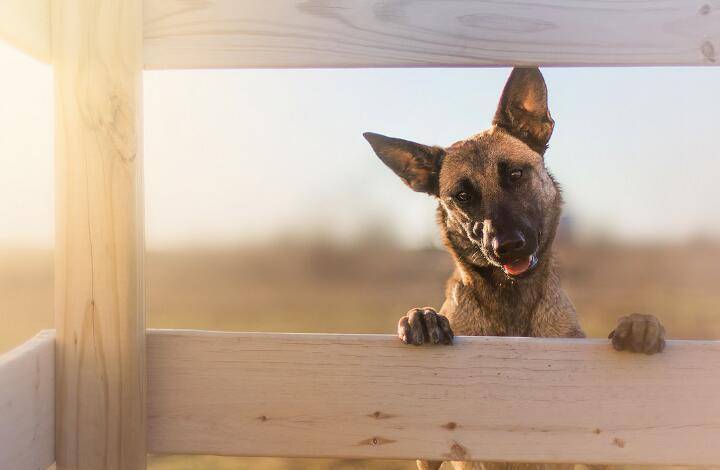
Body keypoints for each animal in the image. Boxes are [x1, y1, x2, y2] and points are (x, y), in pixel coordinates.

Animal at [362, 66, 668, 470]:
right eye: (463, 196)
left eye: (515, 175)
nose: (506, 246)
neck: (511, 305)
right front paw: (422, 317)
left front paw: (640, 325)